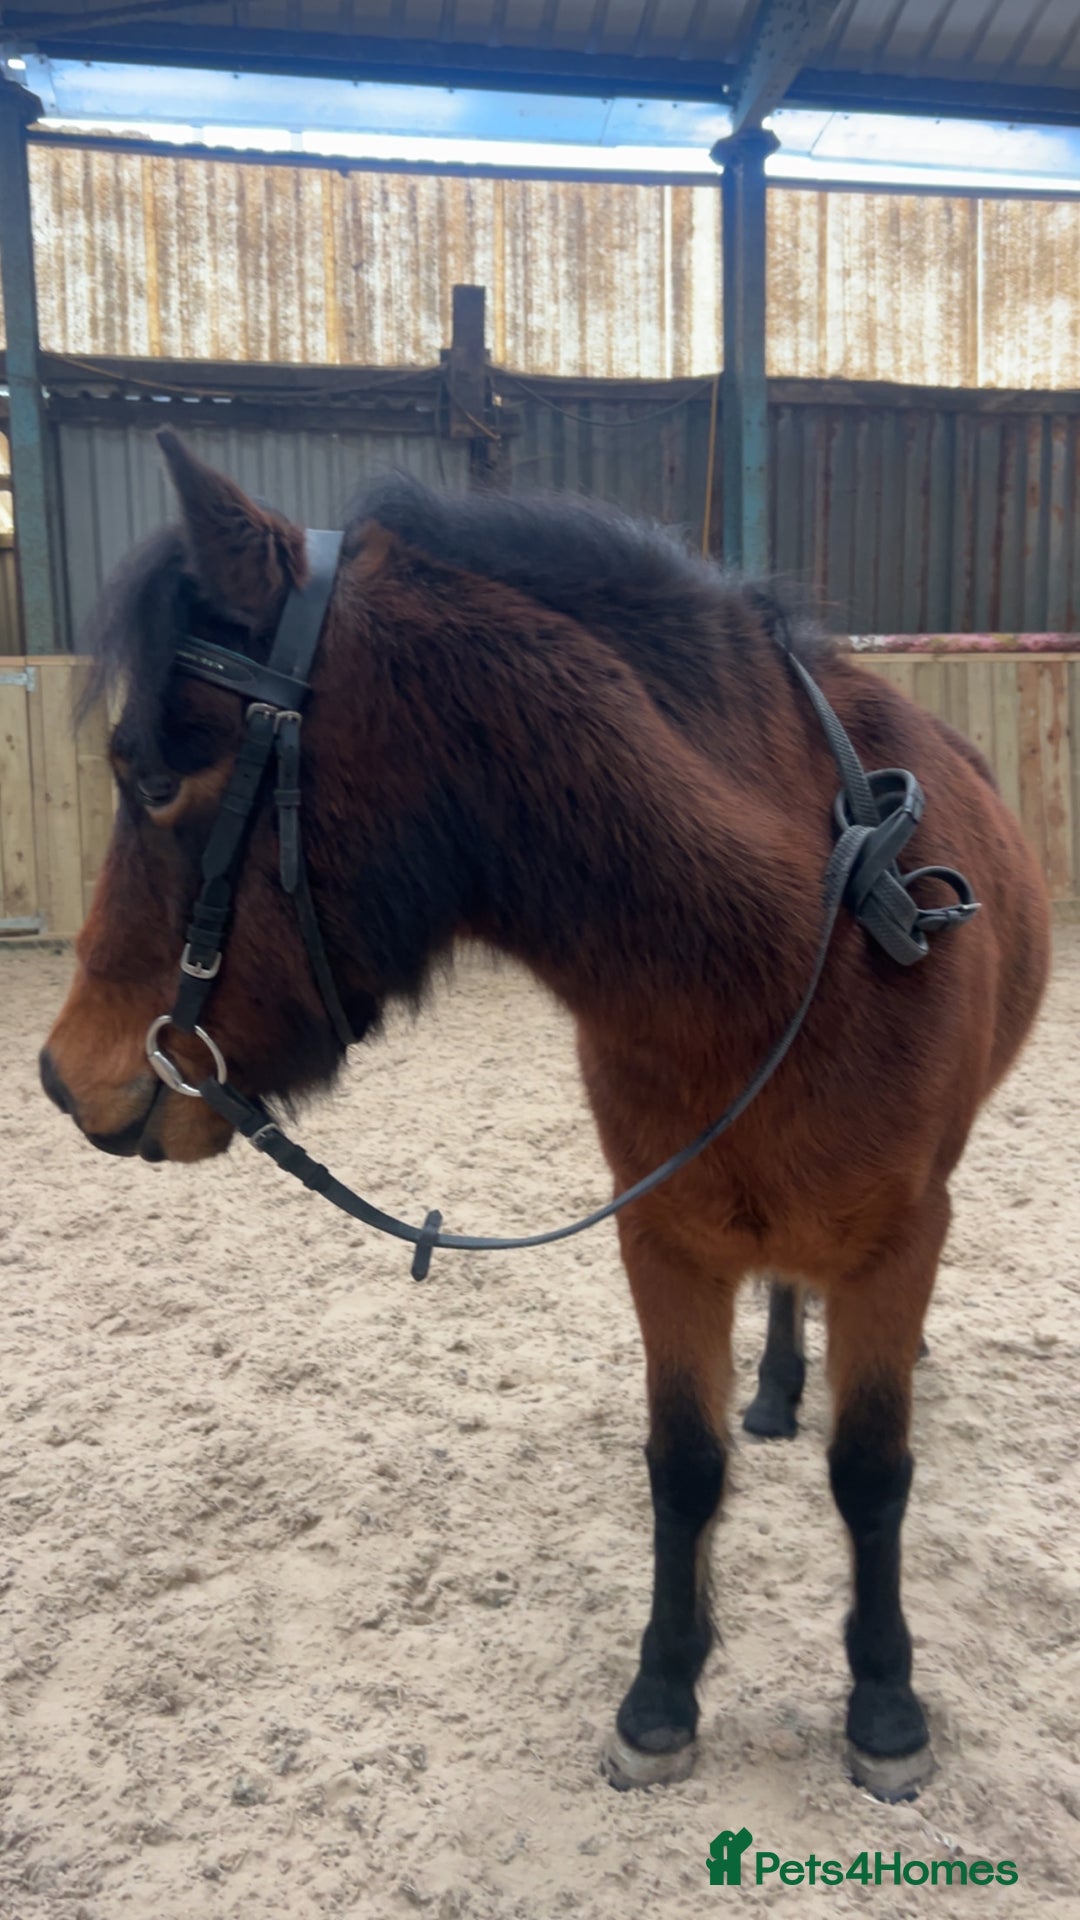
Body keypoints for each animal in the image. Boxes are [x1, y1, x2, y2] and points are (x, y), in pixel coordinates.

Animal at [40, 431, 1050, 1801]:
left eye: (152, 779)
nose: (66, 1076)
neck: (801, 945)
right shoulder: (664, 1235)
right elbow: (684, 1468)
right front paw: (663, 1695)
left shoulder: (897, 1242)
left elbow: (872, 1474)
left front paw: (886, 1707)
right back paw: (779, 1387)